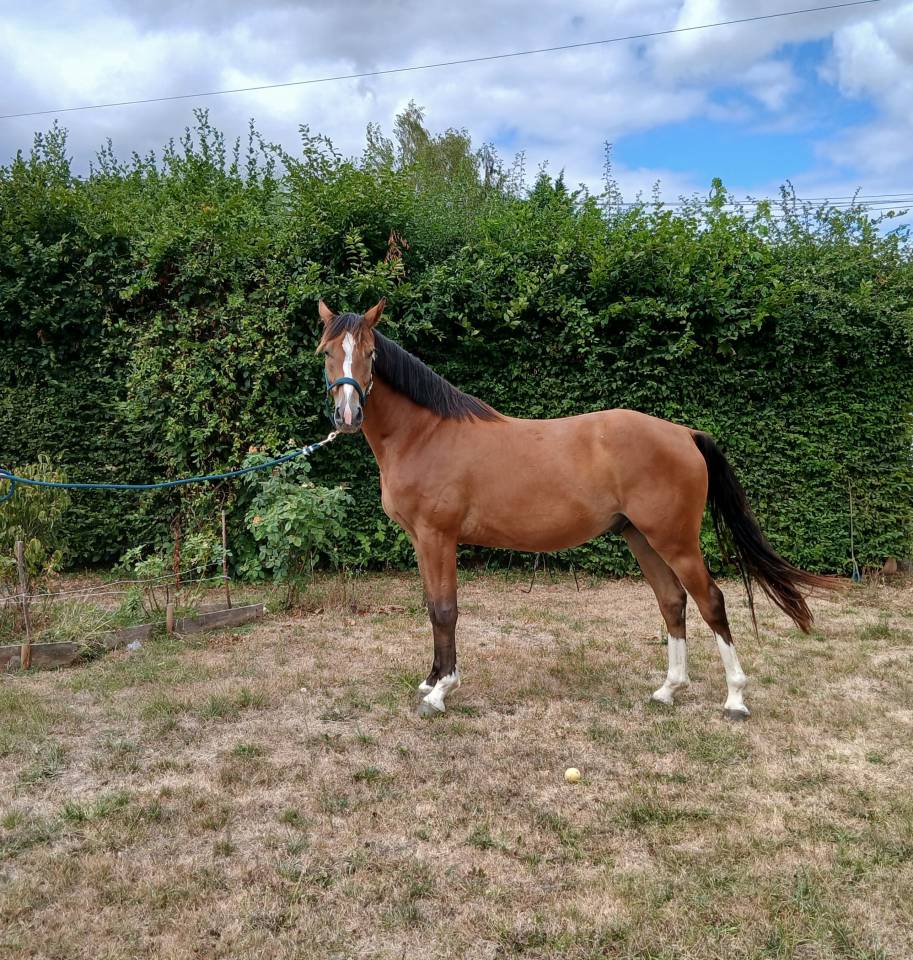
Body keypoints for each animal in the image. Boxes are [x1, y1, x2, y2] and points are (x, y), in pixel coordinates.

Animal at [317, 299, 836, 720]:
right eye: (326, 351)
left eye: (371, 353)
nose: (348, 415)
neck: (427, 434)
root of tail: (684, 433)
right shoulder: (422, 541)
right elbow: (431, 606)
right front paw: (430, 681)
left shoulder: (437, 536)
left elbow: (445, 609)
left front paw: (441, 692)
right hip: (641, 537)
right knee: (672, 600)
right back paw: (668, 690)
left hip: (675, 539)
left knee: (711, 600)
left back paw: (735, 698)